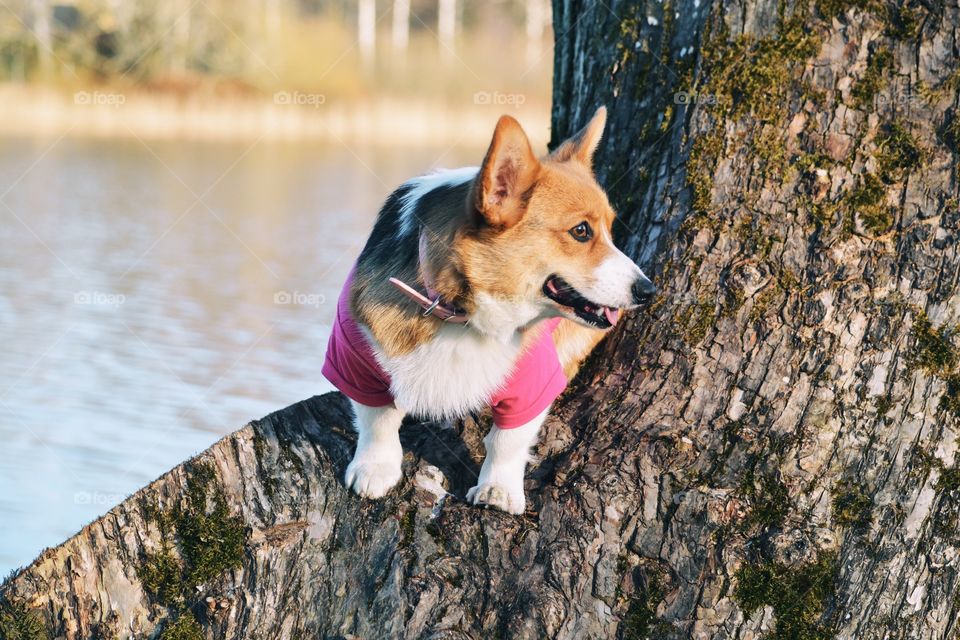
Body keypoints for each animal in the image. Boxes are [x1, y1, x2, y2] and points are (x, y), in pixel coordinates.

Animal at [322, 106, 652, 516]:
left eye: (609, 230)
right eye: (580, 231)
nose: (648, 290)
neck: (458, 311)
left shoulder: (534, 382)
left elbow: (507, 441)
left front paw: (499, 490)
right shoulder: (355, 359)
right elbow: (378, 418)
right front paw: (374, 469)